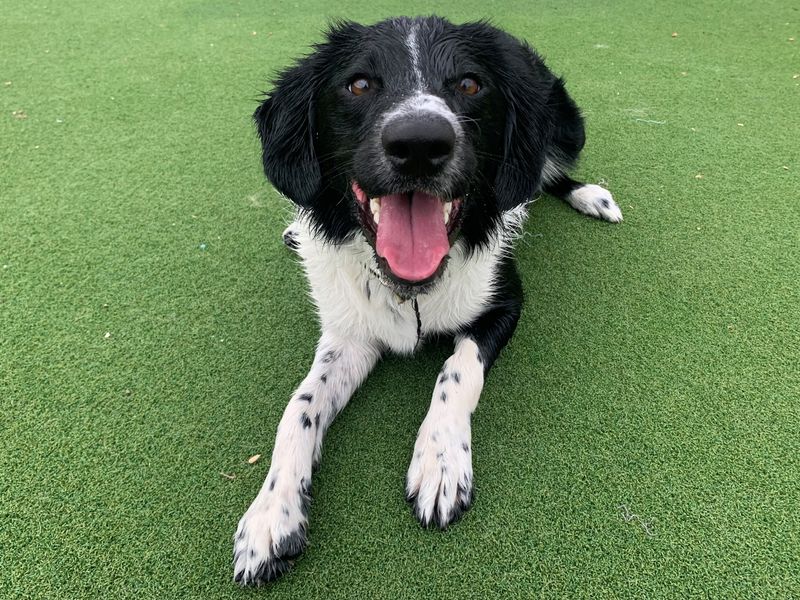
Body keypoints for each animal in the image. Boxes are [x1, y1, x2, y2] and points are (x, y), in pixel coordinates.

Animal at [234, 15, 620, 584]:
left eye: (469, 84)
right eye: (359, 84)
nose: (419, 143)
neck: (410, 289)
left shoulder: (504, 300)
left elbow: (458, 370)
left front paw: (441, 462)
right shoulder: (351, 334)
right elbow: (298, 408)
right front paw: (269, 514)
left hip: (565, 127)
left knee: (546, 172)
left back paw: (591, 195)